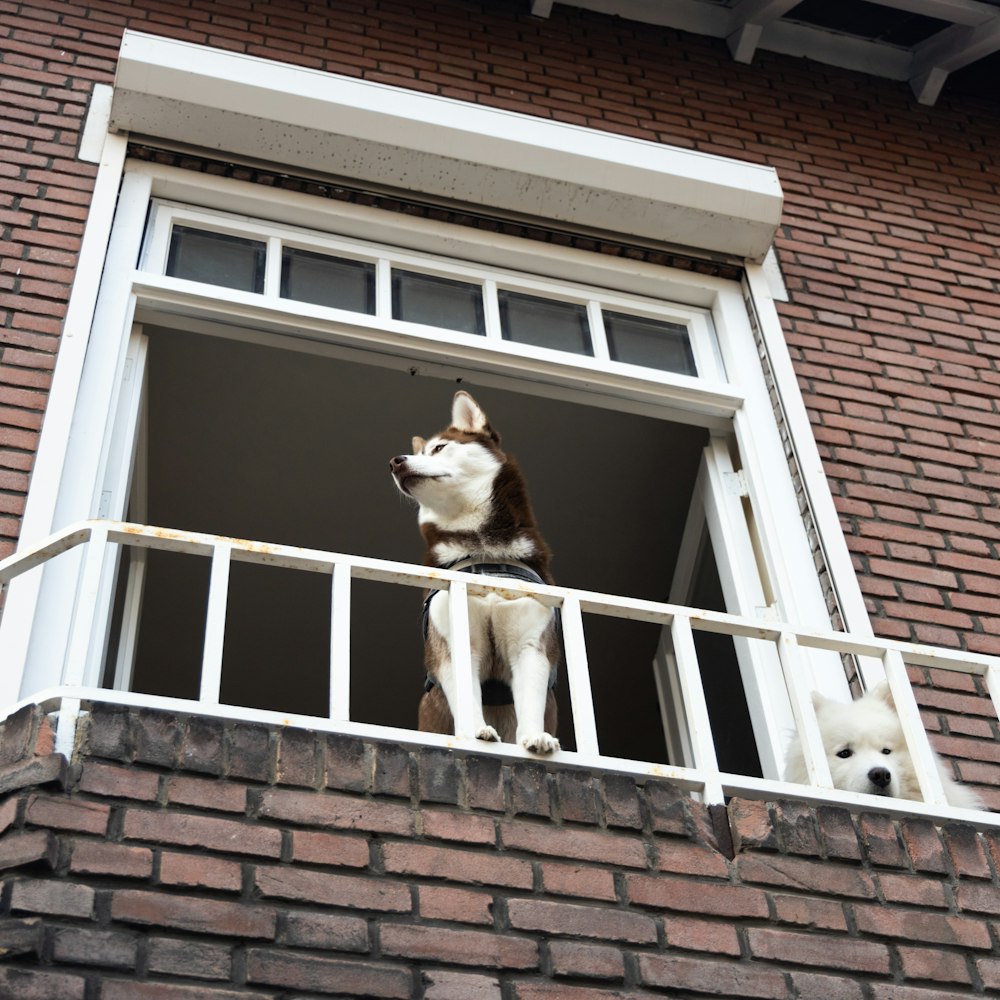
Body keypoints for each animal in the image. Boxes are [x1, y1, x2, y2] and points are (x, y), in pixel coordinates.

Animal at [388, 390, 560, 752]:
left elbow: (530, 699)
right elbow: (466, 694)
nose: (395, 462)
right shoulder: (454, 641)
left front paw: (534, 737)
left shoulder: (531, 644)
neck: (483, 551)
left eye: (439, 448)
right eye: (420, 451)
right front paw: (475, 733)